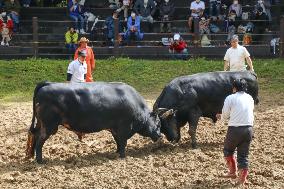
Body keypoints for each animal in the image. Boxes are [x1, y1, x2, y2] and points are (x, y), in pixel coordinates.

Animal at [26, 82, 162, 163]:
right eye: (159, 123)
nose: (159, 135)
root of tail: (48, 84)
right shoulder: (124, 128)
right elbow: (123, 142)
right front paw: (123, 156)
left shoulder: (114, 129)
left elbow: (118, 141)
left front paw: (117, 153)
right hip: (49, 126)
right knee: (40, 140)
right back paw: (40, 160)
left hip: (41, 124)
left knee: (34, 135)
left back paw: (31, 156)